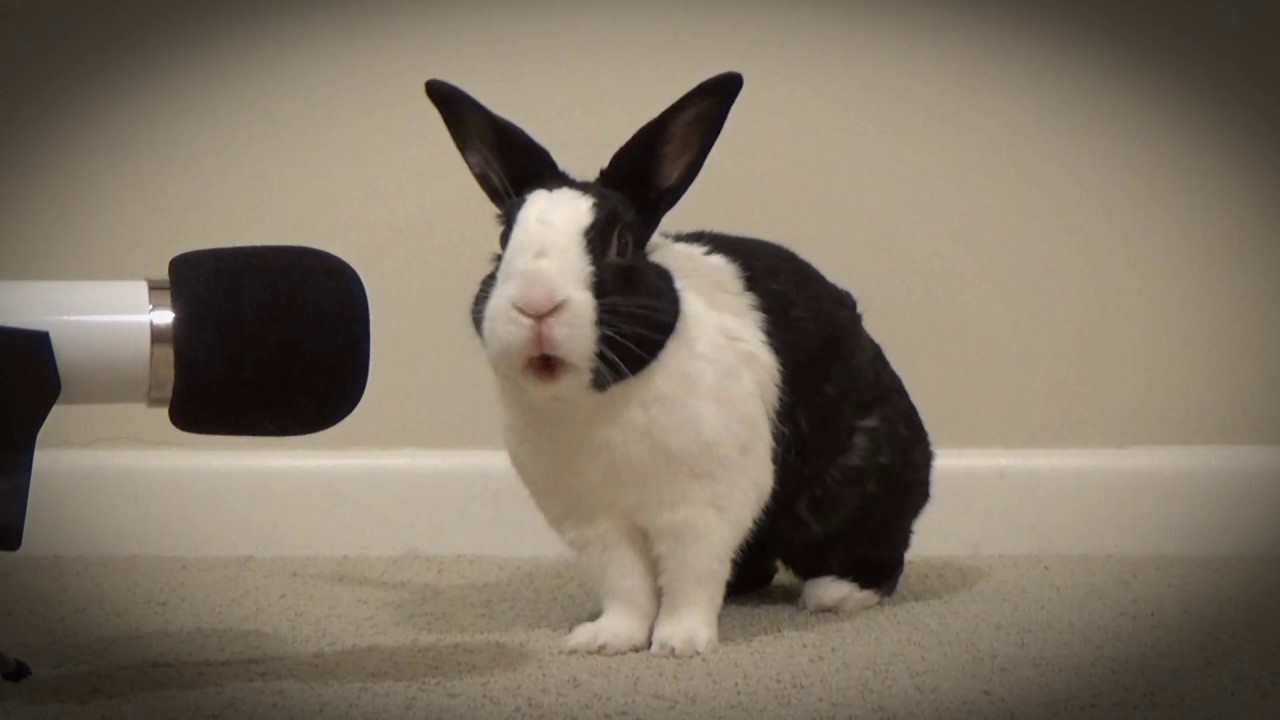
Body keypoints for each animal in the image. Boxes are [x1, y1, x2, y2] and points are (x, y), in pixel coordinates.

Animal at [423, 71, 933, 658]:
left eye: (621, 244)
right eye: (504, 241)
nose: (537, 304)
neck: (599, 404)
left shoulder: (699, 510)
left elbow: (691, 577)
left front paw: (679, 644)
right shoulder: (597, 524)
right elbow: (626, 585)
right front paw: (609, 638)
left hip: (851, 494)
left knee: (878, 557)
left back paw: (834, 593)